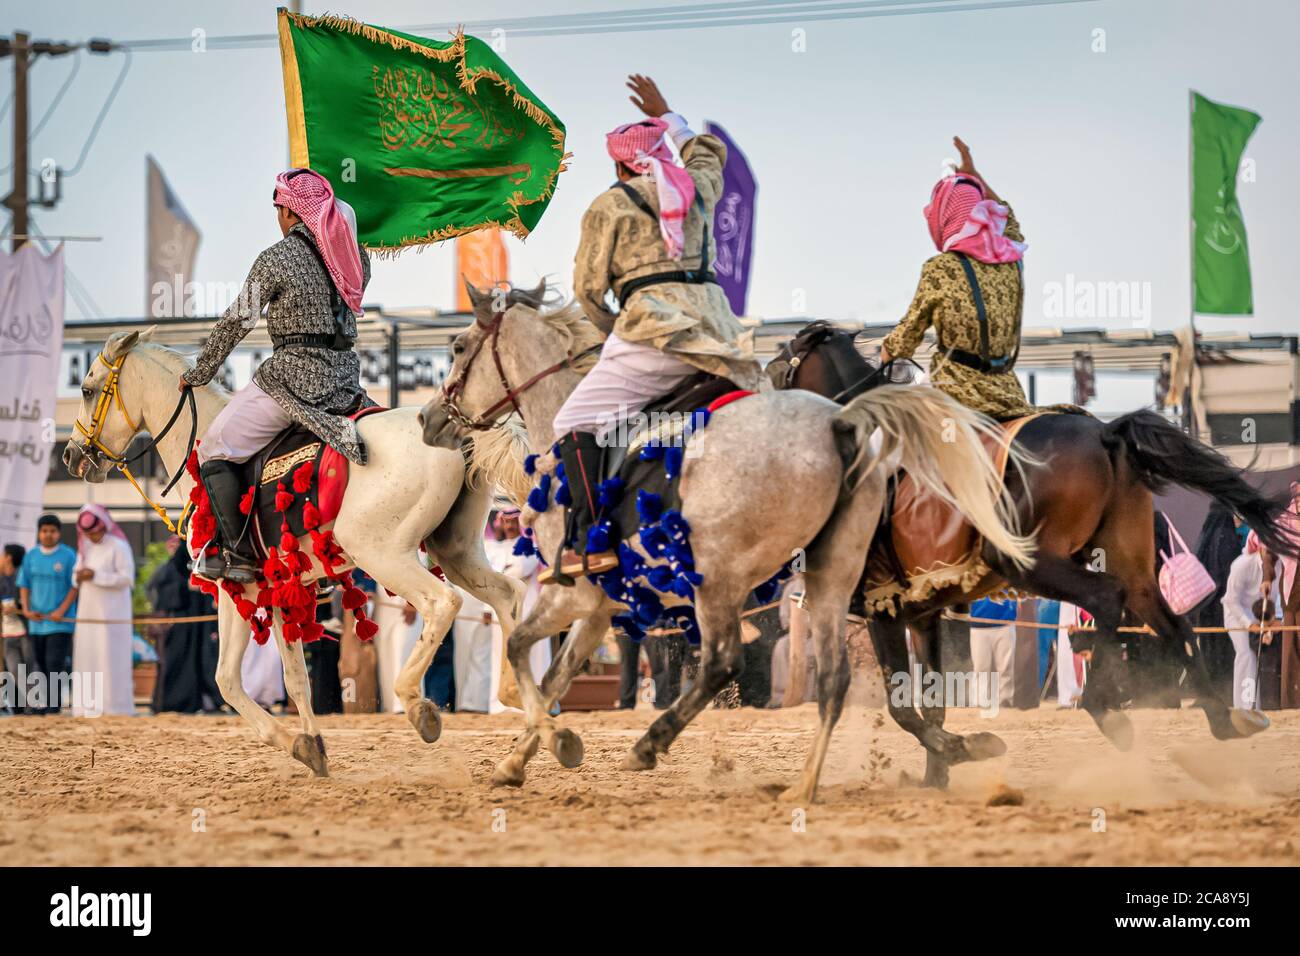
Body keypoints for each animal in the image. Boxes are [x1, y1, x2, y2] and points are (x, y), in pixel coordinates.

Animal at [63, 329, 530, 780]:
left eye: (87, 389)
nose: (70, 455)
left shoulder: (235, 589)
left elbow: (226, 680)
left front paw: (295, 743)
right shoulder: (282, 590)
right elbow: (295, 680)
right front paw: (313, 746)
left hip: (383, 553)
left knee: (442, 603)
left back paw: (418, 704)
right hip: (456, 552)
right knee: (509, 595)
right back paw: (518, 702)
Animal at [769, 319, 1289, 785]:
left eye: (785, 354)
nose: (768, 378)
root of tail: (1105, 434)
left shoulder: (884, 609)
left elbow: (905, 709)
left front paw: (965, 750)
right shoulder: (922, 613)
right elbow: (932, 704)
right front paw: (938, 777)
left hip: (1031, 562)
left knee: (1106, 599)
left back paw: (1107, 710)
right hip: (1132, 563)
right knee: (1172, 622)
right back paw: (1226, 720)